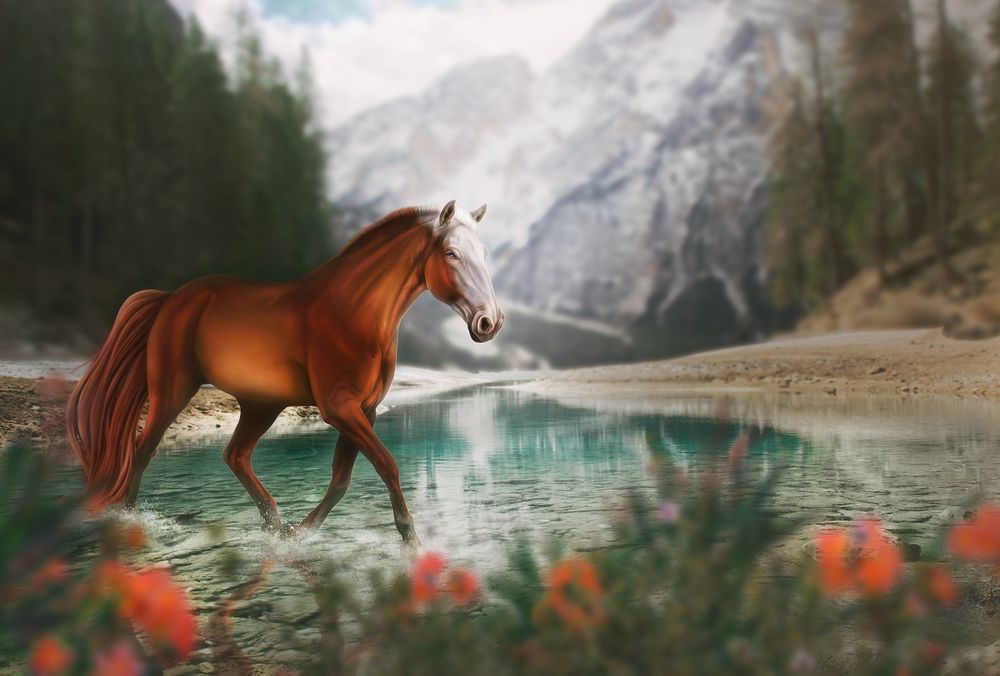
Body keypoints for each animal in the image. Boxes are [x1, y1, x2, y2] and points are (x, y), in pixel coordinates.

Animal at [66, 201, 504, 543]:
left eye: (483, 252)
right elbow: (386, 464)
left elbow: (341, 478)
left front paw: (301, 531)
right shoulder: (339, 408)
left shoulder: (366, 409)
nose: (490, 322)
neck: (352, 311)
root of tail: (171, 298)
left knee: (235, 455)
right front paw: (409, 536)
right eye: (451, 253)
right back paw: (129, 519)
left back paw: (275, 524)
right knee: (143, 451)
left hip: (261, 406)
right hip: (172, 392)